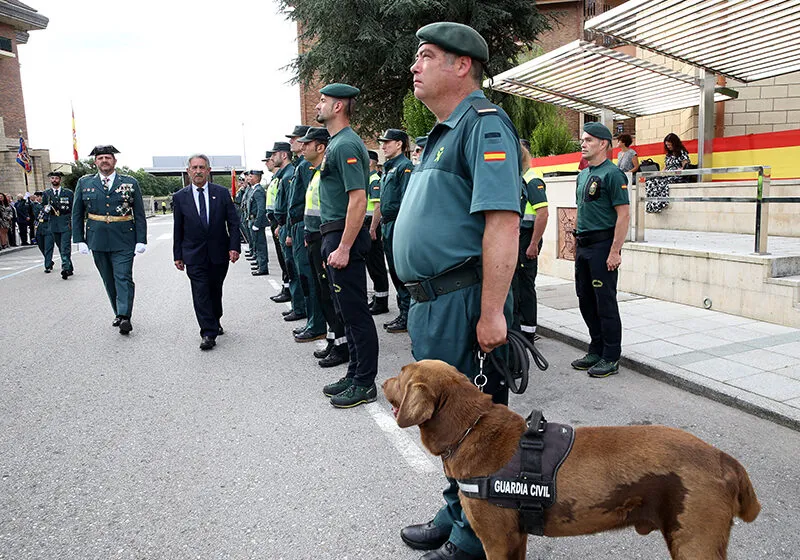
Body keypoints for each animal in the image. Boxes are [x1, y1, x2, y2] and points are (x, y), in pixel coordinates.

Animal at [384, 360, 760, 560]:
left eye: (401, 375)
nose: (383, 380)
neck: (470, 427)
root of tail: (724, 459)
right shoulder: (515, 538)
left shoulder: (496, 539)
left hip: (695, 541)